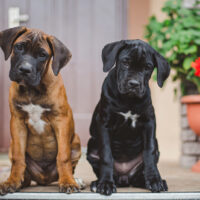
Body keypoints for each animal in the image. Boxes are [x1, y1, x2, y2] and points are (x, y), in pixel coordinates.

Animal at [0, 26, 82, 194]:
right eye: (19, 47)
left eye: (43, 55)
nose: (25, 70)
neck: (33, 89)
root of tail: (43, 179)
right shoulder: (17, 121)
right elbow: (18, 157)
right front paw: (12, 181)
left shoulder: (61, 120)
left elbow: (63, 156)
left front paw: (67, 182)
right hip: (11, 144)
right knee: (23, 169)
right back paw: (20, 181)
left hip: (76, 141)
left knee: (70, 164)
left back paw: (74, 179)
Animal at [86, 39, 170, 195]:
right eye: (125, 62)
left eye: (147, 67)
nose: (134, 84)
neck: (128, 100)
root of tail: (124, 178)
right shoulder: (104, 123)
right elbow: (106, 154)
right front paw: (105, 184)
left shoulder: (149, 122)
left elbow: (149, 151)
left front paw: (155, 180)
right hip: (91, 147)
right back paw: (97, 183)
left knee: (140, 174)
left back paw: (152, 181)